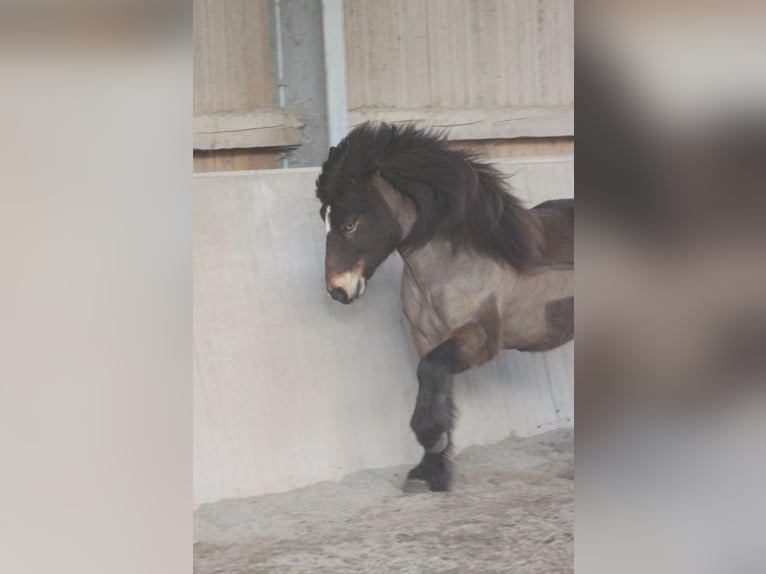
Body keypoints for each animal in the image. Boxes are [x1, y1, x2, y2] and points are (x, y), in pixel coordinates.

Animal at [315, 122, 573, 491]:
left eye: (349, 224)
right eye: (324, 218)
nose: (338, 290)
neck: (454, 265)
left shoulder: (478, 338)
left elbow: (429, 372)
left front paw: (431, 439)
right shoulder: (430, 340)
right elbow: (436, 387)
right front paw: (432, 470)